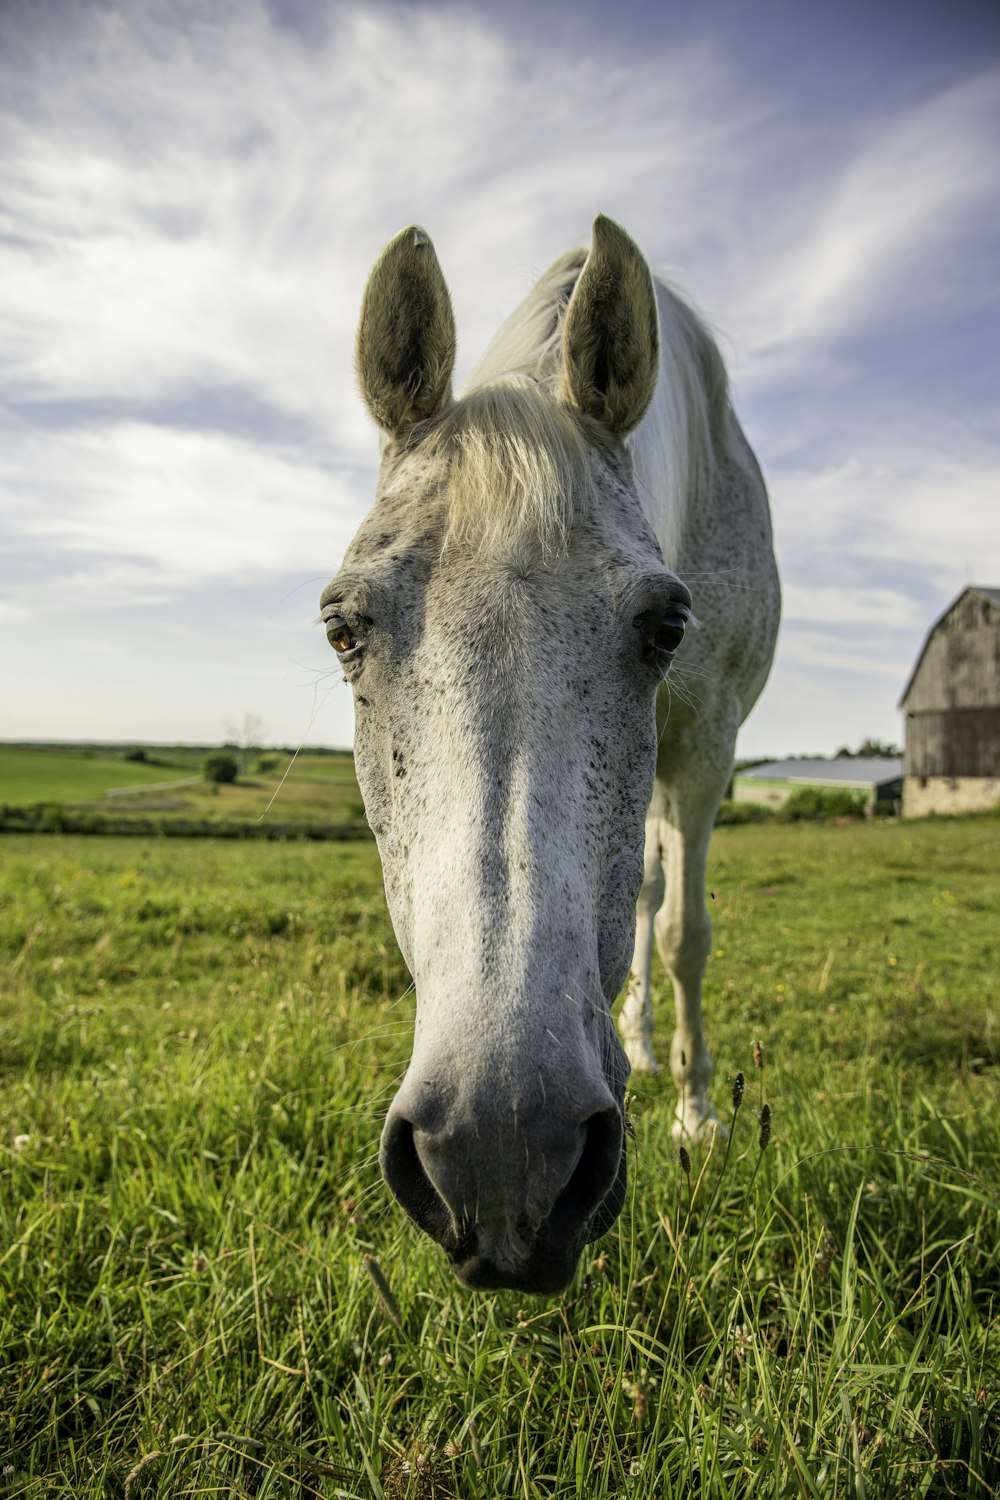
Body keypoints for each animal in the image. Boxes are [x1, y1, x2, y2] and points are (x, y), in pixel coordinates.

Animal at [325, 217, 779, 1296]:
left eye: (666, 628)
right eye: (341, 630)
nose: (498, 1153)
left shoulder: (708, 743)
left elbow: (685, 932)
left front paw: (701, 1116)